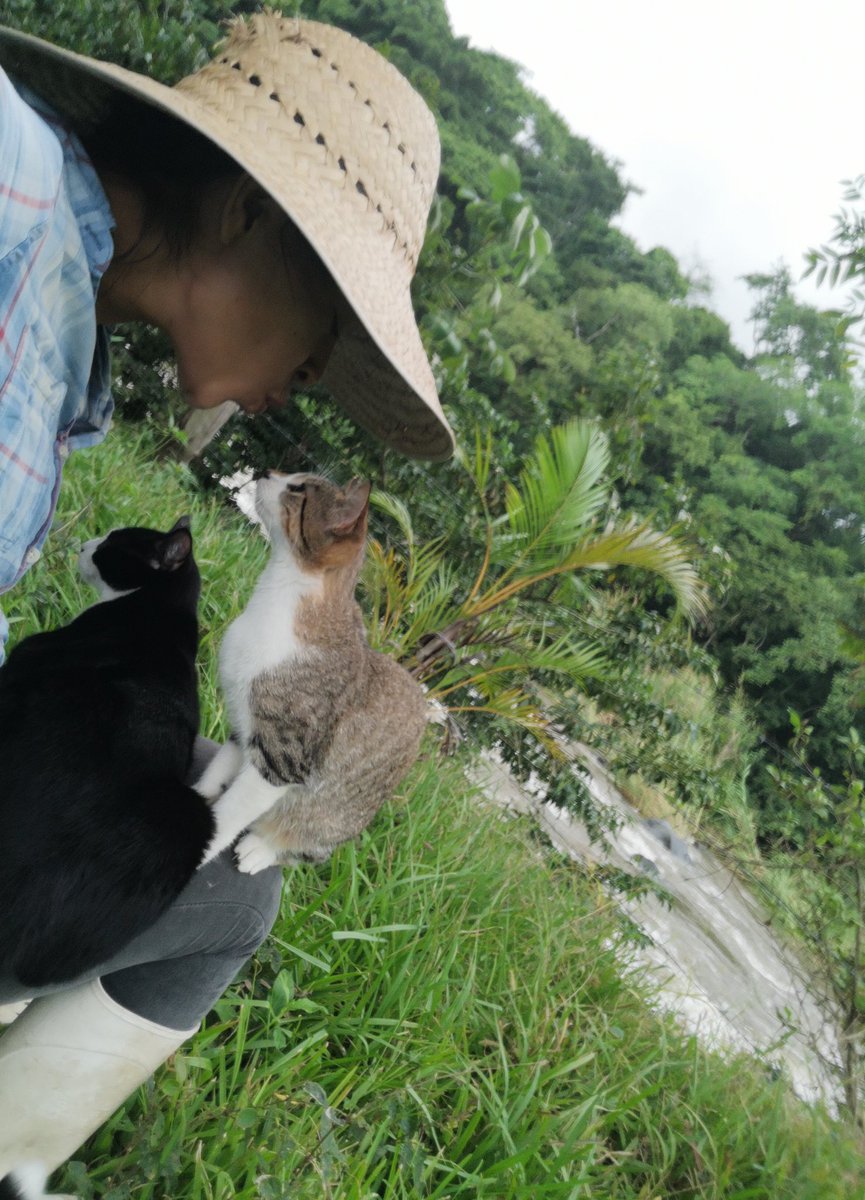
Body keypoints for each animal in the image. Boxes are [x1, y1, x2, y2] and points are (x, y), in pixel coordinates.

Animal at [194, 468, 427, 873]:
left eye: (298, 489)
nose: (265, 472)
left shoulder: (280, 760)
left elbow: (230, 813)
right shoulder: (245, 729)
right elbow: (218, 771)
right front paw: (196, 794)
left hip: (326, 822)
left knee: (302, 845)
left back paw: (262, 848)